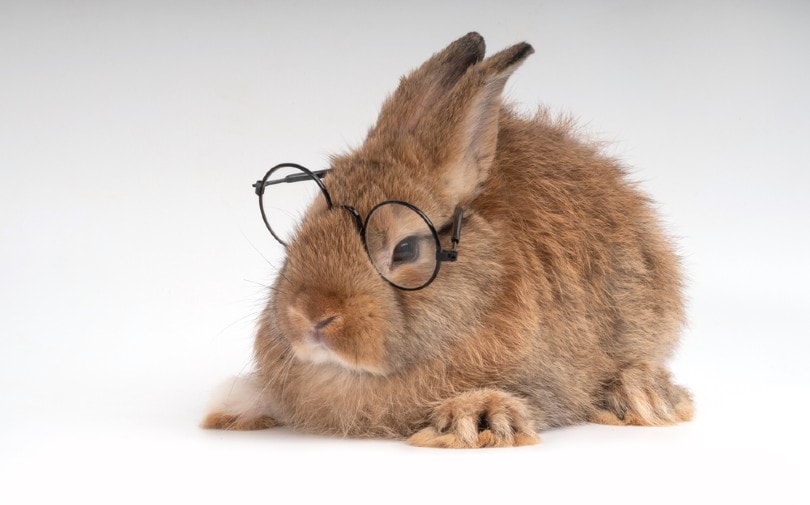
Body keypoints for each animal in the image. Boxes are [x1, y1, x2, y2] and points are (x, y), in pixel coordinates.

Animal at [202, 32, 693, 448]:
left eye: (405, 249)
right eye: (302, 231)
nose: (311, 316)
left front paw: (476, 419)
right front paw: (229, 412)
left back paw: (644, 396)